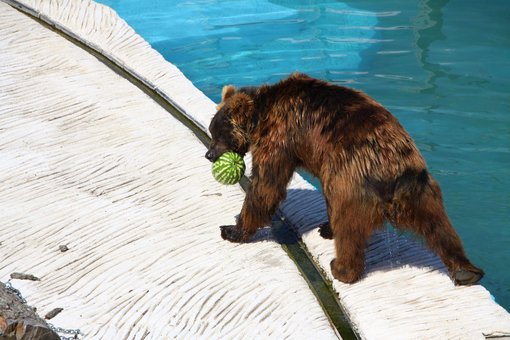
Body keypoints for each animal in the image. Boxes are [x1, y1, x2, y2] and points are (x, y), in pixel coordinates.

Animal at [205, 73, 484, 286]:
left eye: (218, 132)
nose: (209, 154)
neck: (262, 113)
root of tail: (393, 171)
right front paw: (324, 227)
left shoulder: (281, 138)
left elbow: (266, 186)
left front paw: (232, 229)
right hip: (420, 189)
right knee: (440, 226)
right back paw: (466, 271)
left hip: (352, 182)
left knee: (348, 225)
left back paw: (341, 268)